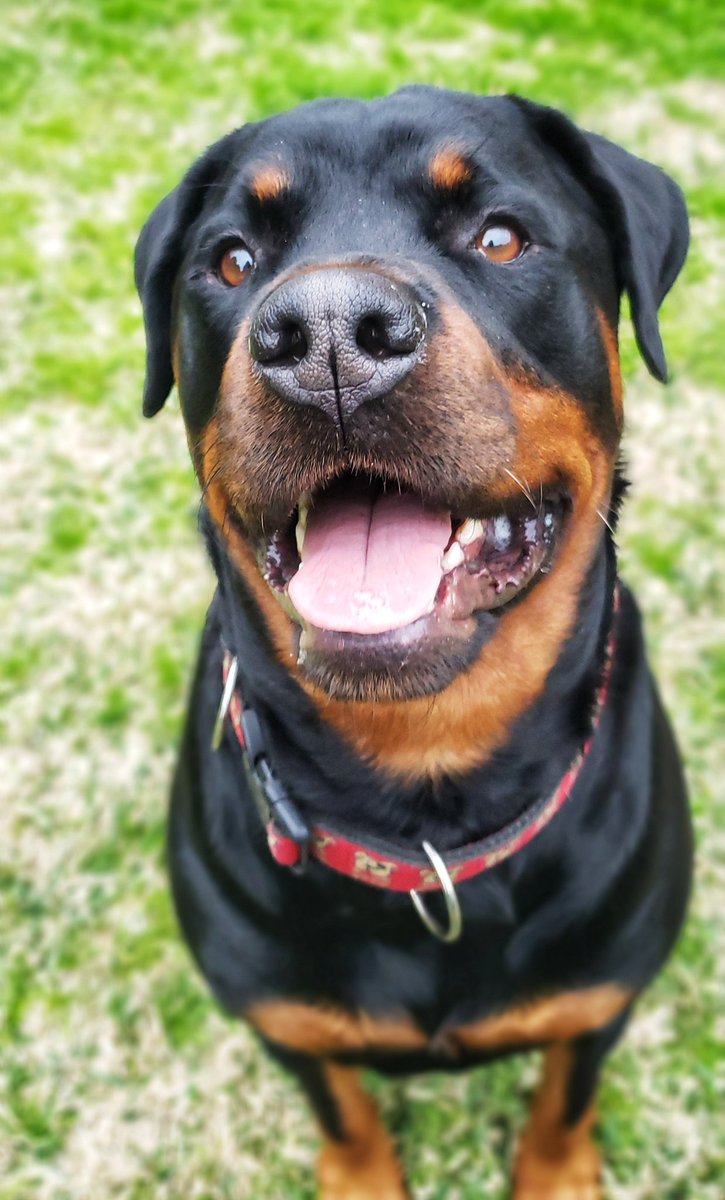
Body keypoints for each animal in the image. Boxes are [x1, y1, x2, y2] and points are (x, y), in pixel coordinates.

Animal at [134, 88, 691, 1195]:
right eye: (232, 260)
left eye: (500, 237)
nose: (327, 334)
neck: (427, 780)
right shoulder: (283, 1019)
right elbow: (342, 1110)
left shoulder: (600, 995)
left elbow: (564, 1096)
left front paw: (557, 1172)